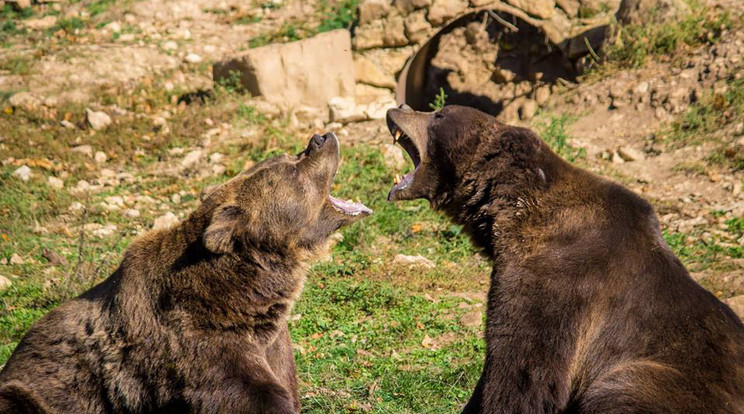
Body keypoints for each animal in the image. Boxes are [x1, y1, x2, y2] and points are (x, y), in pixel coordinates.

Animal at [0, 133, 372, 414]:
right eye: (292, 169)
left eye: (288, 155)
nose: (321, 138)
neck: (248, 295)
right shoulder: (194, 339)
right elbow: (245, 393)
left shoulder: (272, 344)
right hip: (29, 390)